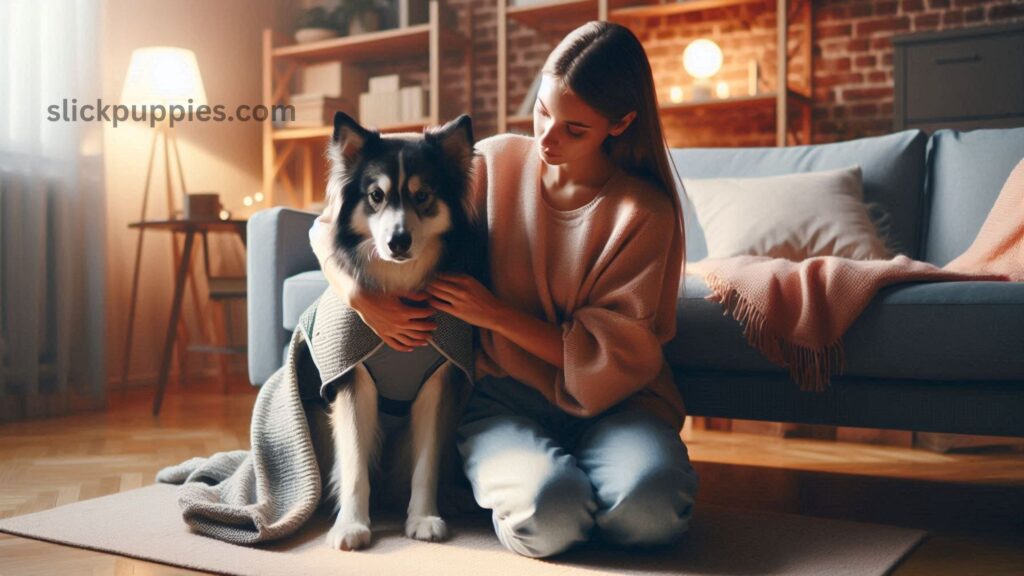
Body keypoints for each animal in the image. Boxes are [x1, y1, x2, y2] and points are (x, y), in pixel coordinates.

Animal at [305, 111, 477, 545]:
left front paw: (424, 517)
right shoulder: (353, 381)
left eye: (423, 195)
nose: (398, 241)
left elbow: (426, 464)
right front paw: (351, 524)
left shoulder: (437, 385)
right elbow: (354, 465)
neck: (400, 289)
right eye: (376, 196)